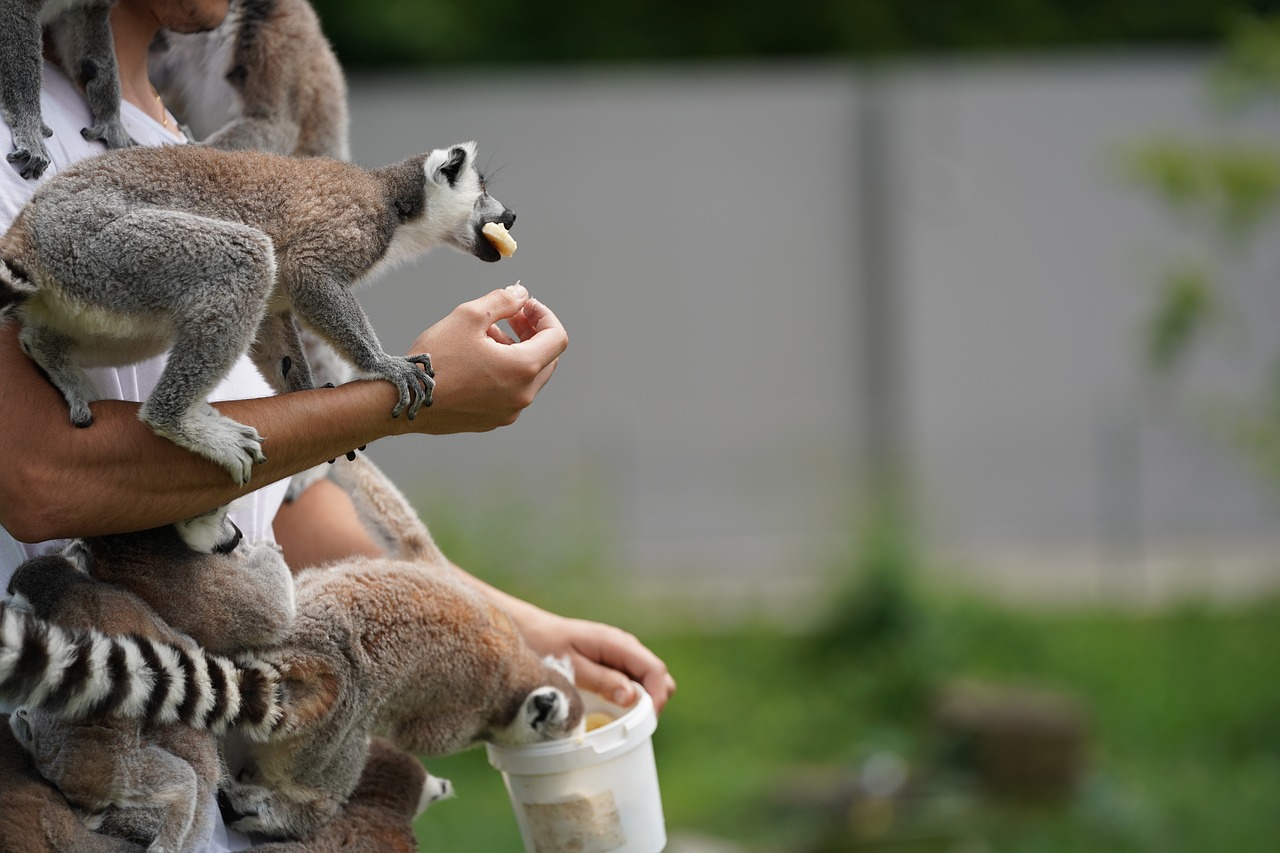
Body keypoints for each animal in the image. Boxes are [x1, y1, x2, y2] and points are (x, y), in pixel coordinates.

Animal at [0, 139, 516, 484]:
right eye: (482, 189)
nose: (511, 215)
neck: (394, 202)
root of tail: (30, 225)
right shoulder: (348, 228)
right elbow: (310, 272)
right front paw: (385, 365)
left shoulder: (280, 305)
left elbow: (275, 329)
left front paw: (306, 394)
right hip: (100, 243)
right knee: (245, 259)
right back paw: (177, 421)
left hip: (93, 282)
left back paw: (49, 354)